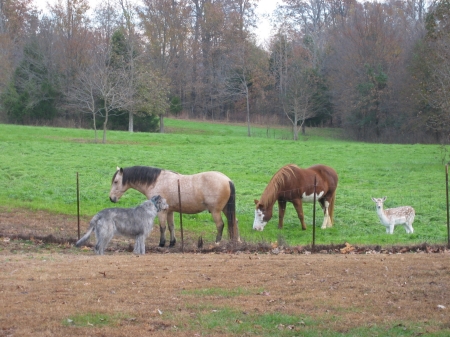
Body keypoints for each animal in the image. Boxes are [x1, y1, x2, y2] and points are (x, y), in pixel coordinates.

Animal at [109, 166, 239, 247]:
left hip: (215, 211)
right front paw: (172, 243)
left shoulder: (161, 212)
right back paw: (236, 241)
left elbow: (162, 227)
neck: (156, 181)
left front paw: (162, 243)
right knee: (234, 221)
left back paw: (217, 243)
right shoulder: (169, 211)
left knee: (220, 225)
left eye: (115, 181)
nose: (111, 198)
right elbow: (171, 227)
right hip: (226, 209)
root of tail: (227, 180)